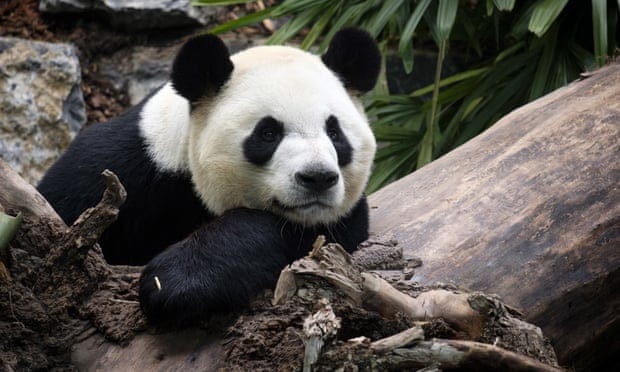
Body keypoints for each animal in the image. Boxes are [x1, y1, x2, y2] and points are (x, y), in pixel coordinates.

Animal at [38, 28, 380, 326]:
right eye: (268, 133)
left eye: (335, 133)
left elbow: (302, 233)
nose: (318, 177)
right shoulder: (120, 165)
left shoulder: (337, 219)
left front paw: (176, 283)